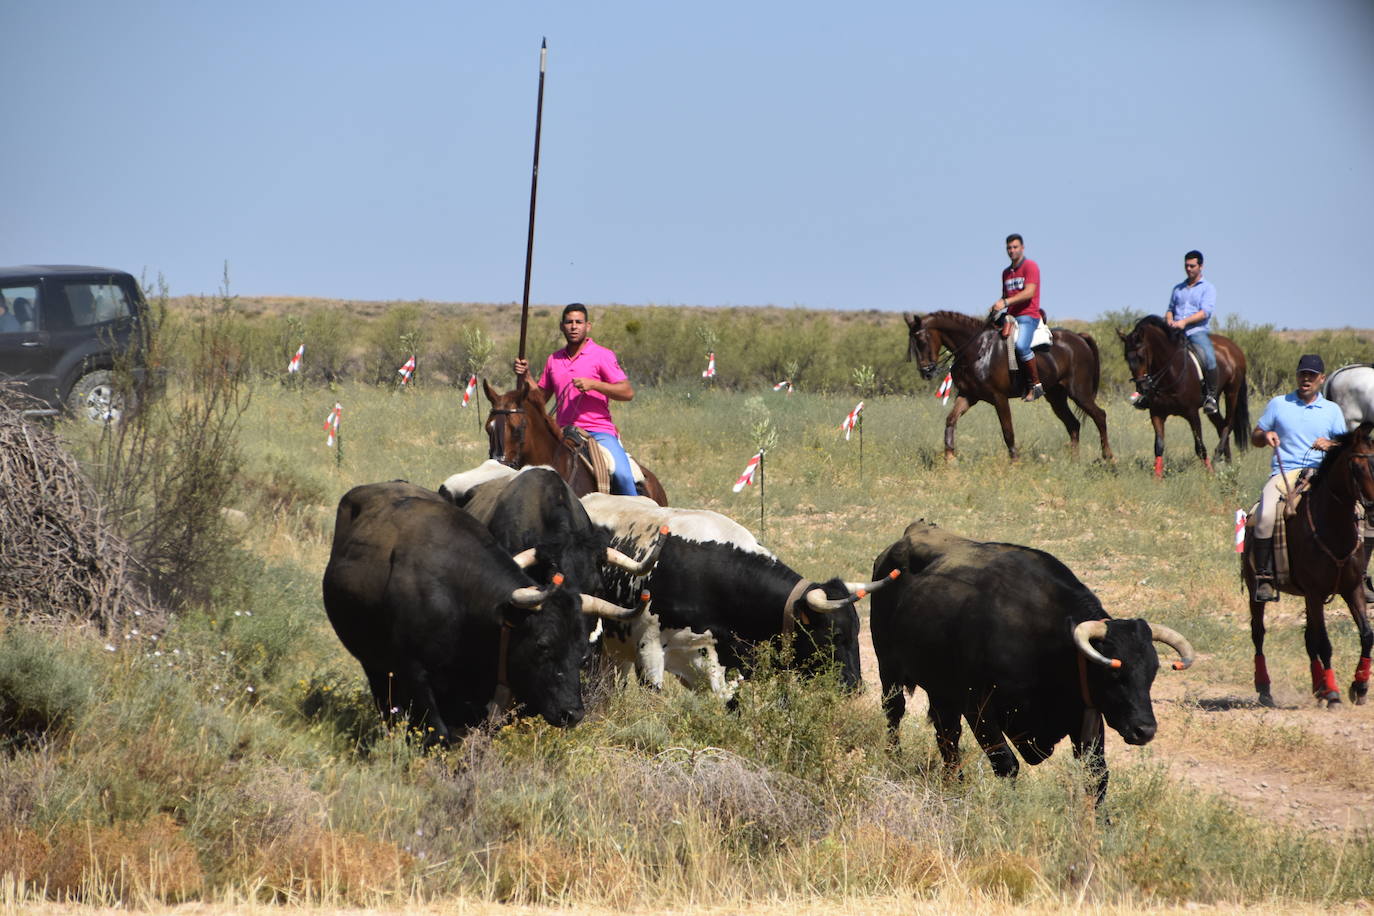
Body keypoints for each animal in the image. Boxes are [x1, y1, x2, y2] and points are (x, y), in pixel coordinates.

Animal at [873, 521, 1198, 802]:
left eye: (1152, 673)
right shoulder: (978, 706)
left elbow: (1097, 775)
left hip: (941, 689)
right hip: (889, 668)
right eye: (1112, 672)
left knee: (947, 735)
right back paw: (894, 758)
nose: (1145, 730)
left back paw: (955, 784)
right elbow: (1006, 764)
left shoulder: (1087, 714)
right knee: (896, 712)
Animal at [901, 311, 1115, 461]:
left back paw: (1108, 458)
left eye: (921, 340)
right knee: (1073, 424)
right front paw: (950, 457)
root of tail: (1079, 337)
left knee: (1099, 415)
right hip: (1056, 397)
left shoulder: (999, 398)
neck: (977, 350)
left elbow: (1007, 431)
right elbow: (951, 420)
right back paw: (1074, 462)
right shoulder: (968, 396)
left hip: (1079, 392)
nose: (926, 372)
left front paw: (1014, 462)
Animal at [1121, 315, 1253, 477]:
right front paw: (1157, 478)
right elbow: (1158, 446)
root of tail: (1233, 347)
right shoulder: (1157, 413)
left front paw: (1209, 474)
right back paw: (1228, 463)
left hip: (1231, 393)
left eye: (1141, 356)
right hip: (1214, 403)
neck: (1171, 373)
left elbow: (1200, 447)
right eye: (1126, 357)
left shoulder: (1192, 414)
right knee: (1221, 425)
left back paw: (1217, 457)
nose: (1142, 388)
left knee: (1228, 424)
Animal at [1247, 422, 1374, 708]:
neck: (1334, 529)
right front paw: (1335, 693)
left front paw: (1359, 686)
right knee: (1259, 634)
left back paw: (1319, 687)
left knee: (1309, 638)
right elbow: (1325, 643)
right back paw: (1265, 688)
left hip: (1307, 596)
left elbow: (1366, 634)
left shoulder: (1351, 589)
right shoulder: (1316, 592)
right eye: (1356, 467)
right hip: (1255, 591)